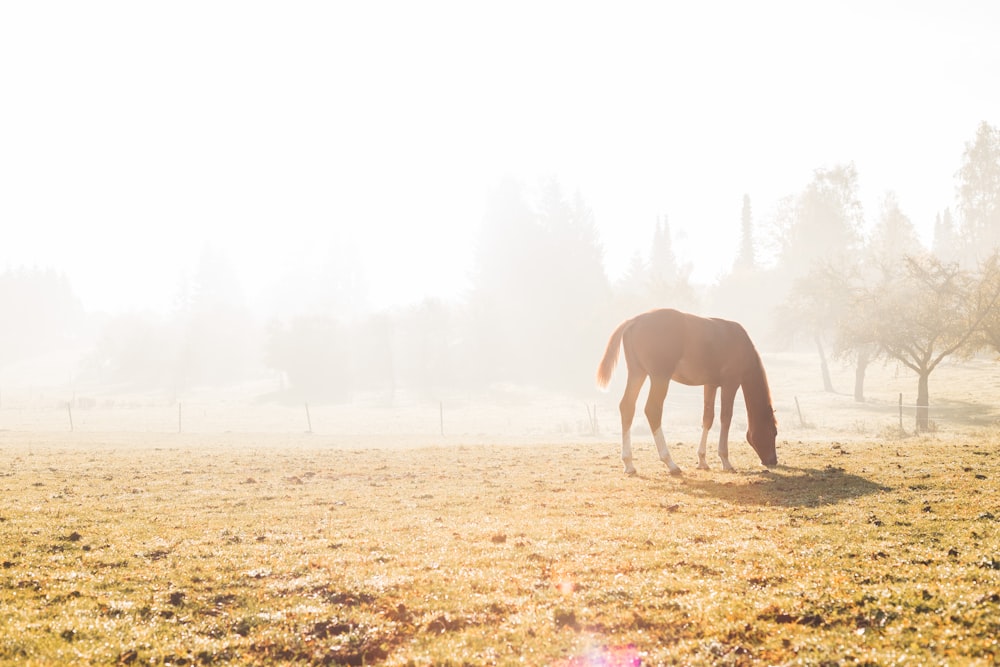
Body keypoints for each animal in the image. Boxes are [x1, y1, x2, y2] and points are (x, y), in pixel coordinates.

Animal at [596, 310, 776, 474]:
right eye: (774, 432)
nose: (773, 461)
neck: (740, 343)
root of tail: (635, 320)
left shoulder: (710, 385)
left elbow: (708, 418)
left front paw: (702, 460)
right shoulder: (730, 384)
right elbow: (725, 418)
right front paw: (725, 460)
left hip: (637, 373)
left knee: (627, 407)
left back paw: (629, 463)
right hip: (660, 378)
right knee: (653, 410)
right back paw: (670, 463)